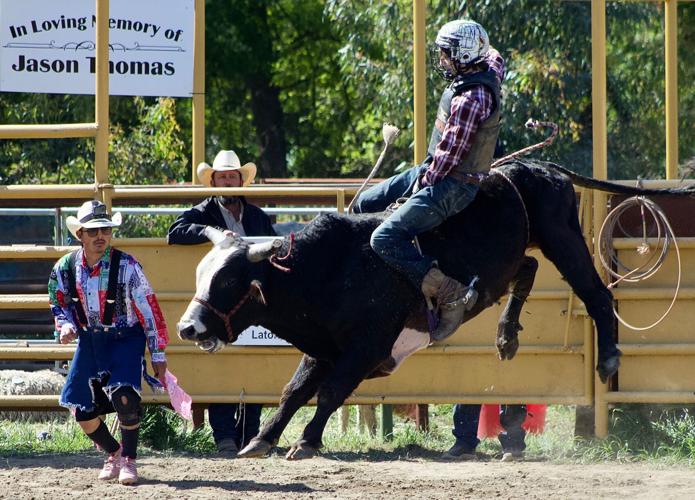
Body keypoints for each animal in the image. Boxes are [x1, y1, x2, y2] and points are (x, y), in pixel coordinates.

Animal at [177, 158, 692, 458]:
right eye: (200, 274)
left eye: (228, 280)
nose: (188, 328)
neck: (330, 269)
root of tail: (539, 169)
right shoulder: (322, 348)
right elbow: (293, 391)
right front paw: (261, 440)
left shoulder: (365, 348)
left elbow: (330, 392)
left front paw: (304, 442)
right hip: (511, 258)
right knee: (525, 270)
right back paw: (506, 336)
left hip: (563, 238)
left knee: (597, 294)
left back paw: (608, 359)